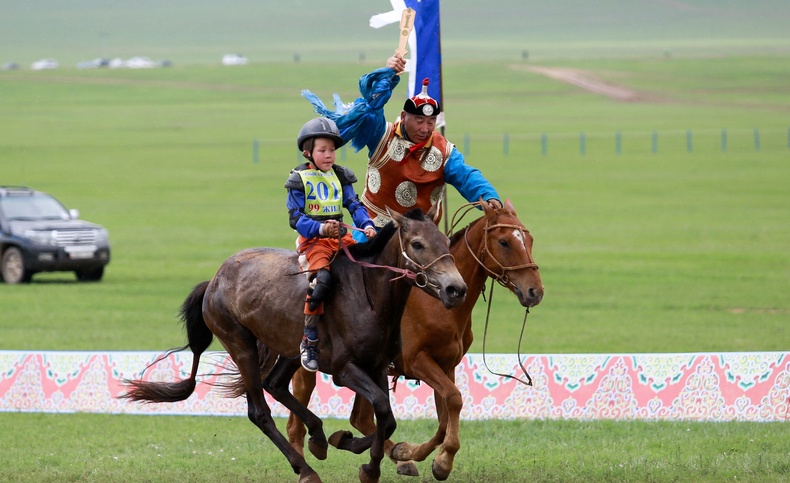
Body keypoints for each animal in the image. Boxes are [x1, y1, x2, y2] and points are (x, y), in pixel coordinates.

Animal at [120, 209, 468, 483]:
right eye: (417, 244)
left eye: (445, 241)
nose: (456, 289)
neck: (368, 296)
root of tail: (216, 278)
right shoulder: (344, 369)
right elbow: (381, 408)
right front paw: (369, 467)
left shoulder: (378, 366)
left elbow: (388, 417)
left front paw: (350, 442)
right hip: (239, 343)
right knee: (259, 411)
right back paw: (305, 468)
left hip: (290, 348)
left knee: (275, 384)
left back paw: (317, 437)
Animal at [284, 200, 544, 480]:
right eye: (504, 242)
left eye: (529, 239)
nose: (535, 291)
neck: (437, 304)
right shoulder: (417, 360)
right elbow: (453, 399)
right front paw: (434, 458)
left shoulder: (446, 365)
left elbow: (447, 413)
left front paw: (421, 455)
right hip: (306, 369)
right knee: (295, 422)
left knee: (359, 418)